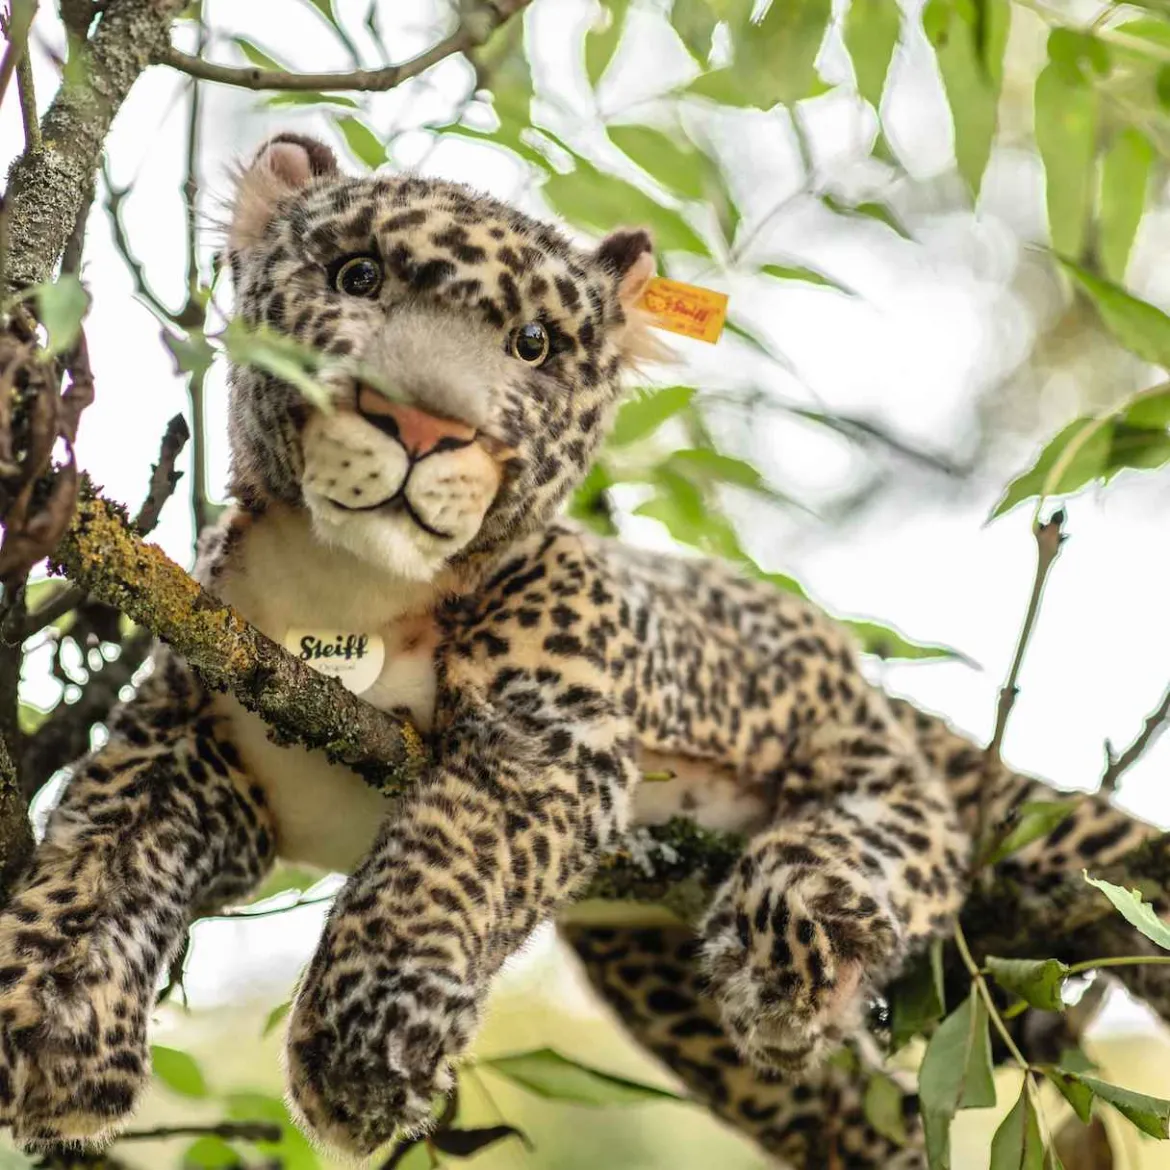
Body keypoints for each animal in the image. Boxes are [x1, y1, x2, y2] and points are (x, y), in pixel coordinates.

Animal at [0, 132, 1163, 1167]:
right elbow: (99, 851)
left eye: (532, 347)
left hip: (845, 754)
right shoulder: (194, 735)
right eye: (357, 277)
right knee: (850, 1120)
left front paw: (366, 1046)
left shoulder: (549, 728)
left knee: (897, 831)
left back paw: (803, 938)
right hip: (665, 979)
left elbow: (441, 858)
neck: (352, 591)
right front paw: (43, 1016)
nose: (422, 425)